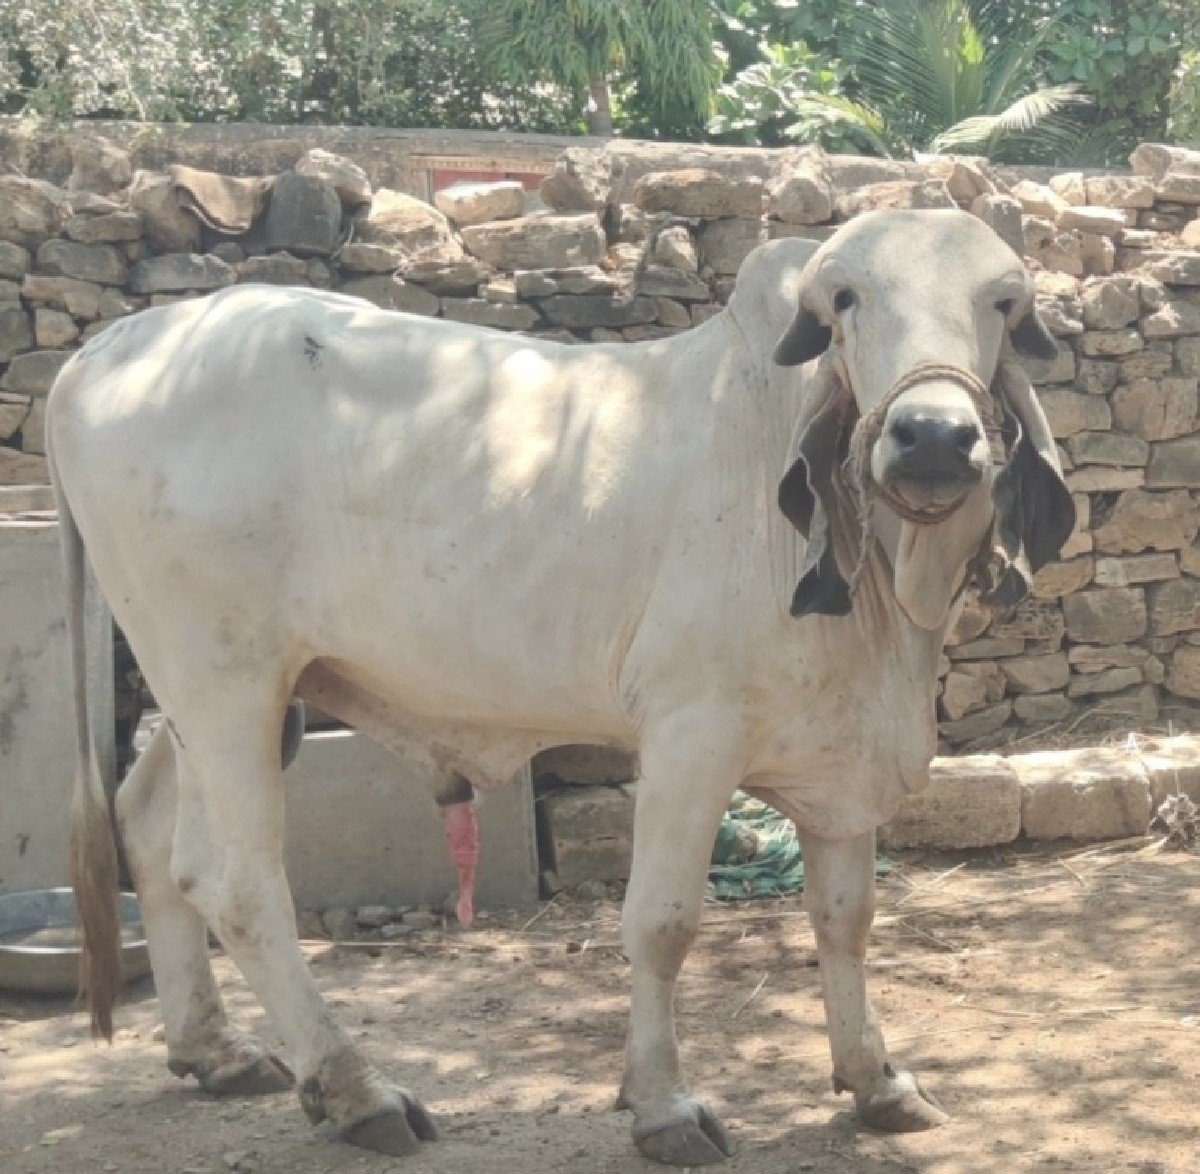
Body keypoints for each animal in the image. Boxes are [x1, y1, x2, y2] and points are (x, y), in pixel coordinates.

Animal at [49, 208, 1075, 1165]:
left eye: (1002, 302)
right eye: (847, 299)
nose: (933, 436)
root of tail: (103, 351)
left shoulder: (841, 761)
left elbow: (846, 918)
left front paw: (877, 1079)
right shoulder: (691, 734)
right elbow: (663, 922)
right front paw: (663, 1106)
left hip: (237, 697)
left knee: (159, 841)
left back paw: (214, 1052)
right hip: (224, 684)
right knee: (243, 886)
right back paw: (357, 1092)